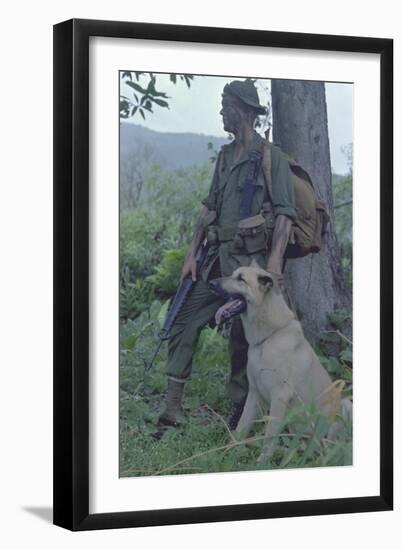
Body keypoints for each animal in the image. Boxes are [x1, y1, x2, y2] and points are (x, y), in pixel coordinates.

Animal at [210, 266, 352, 462]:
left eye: (241, 279)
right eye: (233, 275)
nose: (211, 283)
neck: (268, 338)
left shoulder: (279, 396)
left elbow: (269, 435)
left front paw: (262, 462)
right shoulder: (253, 393)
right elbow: (242, 426)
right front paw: (228, 452)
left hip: (344, 405)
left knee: (330, 446)